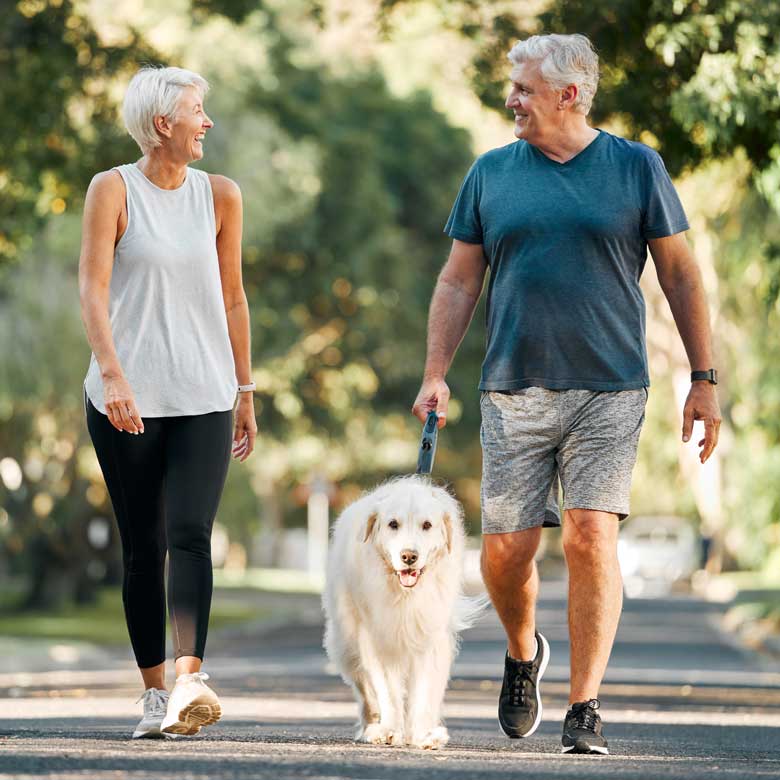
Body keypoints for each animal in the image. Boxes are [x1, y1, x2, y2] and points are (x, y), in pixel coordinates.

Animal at [322, 476, 482, 748]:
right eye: (393, 524)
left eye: (427, 525)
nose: (409, 556)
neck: (405, 595)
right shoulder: (377, 639)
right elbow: (387, 690)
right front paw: (389, 731)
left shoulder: (430, 639)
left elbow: (425, 691)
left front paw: (423, 734)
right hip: (346, 643)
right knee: (365, 690)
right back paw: (371, 726)